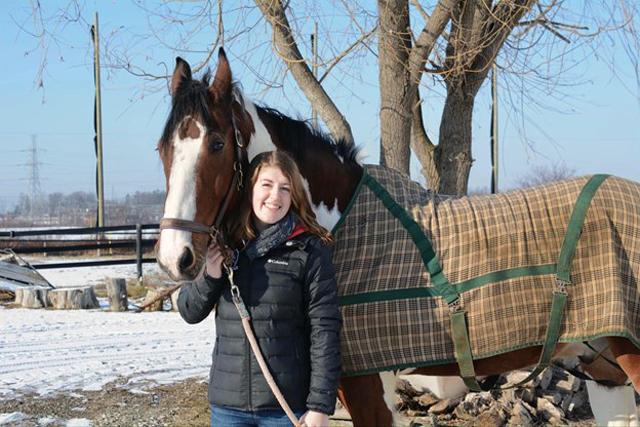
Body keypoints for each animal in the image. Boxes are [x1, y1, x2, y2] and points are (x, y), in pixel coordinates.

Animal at [156, 49, 640, 424]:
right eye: (164, 150)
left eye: (217, 144)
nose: (175, 258)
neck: (339, 226)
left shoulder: (367, 389)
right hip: (605, 372)